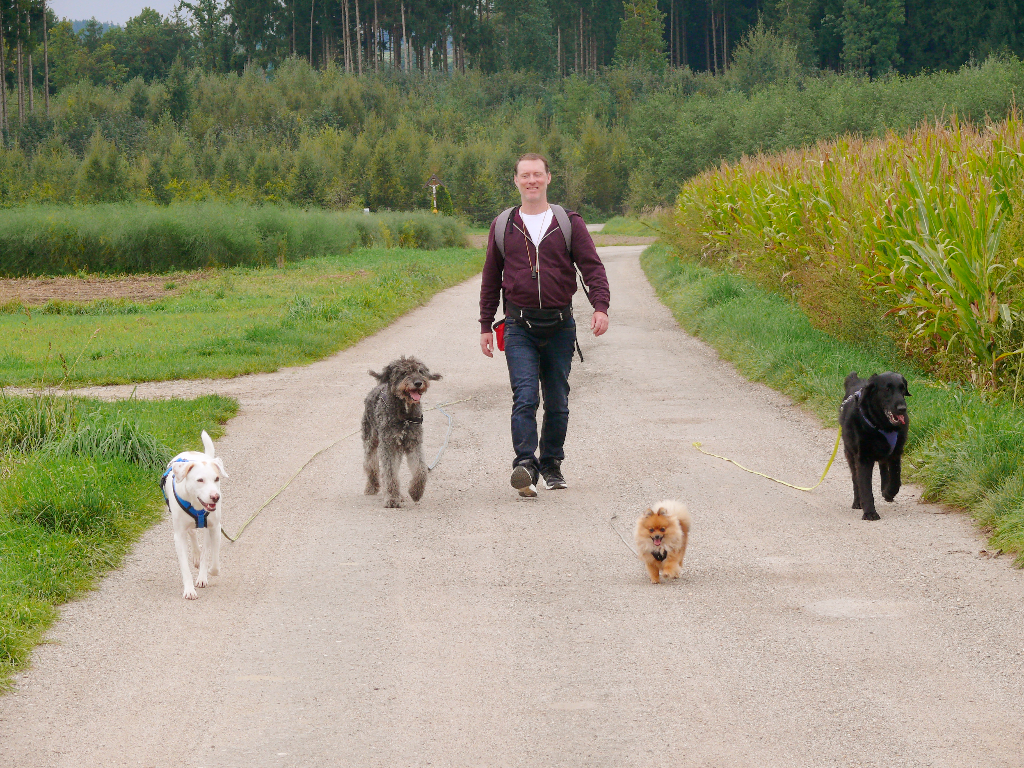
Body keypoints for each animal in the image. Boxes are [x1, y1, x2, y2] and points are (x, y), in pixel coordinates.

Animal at [159, 428, 228, 602]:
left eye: (216, 478)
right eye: (200, 480)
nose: (215, 497)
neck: (197, 505)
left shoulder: (215, 528)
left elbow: (213, 561)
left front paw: (207, 572)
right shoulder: (179, 535)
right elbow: (184, 567)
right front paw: (189, 590)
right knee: (192, 533)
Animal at [360, 356, 440, 512]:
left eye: (420, 371)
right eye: (403, 373)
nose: (418, 383)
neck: (405, 415)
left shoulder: (414, 443)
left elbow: (421, 469)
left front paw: (415, 492)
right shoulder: (388, 446)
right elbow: (390, 473)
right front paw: (392, 498)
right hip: (371, 440)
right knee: (370, 464)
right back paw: (372, 486)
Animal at [839, 372, 913, 524]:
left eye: (902, 388)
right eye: (887, 389)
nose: (902, 408)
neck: (883, 426)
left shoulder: (896, 453)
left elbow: (895, 479)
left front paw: (888, 492)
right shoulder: (863, 458)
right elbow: (865, 487)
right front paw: (870, 512)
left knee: (883, 468)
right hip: (850, 453)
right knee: (855, 479)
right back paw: (857, 502)